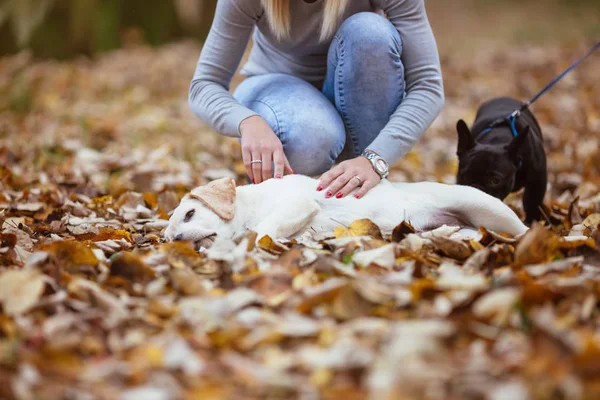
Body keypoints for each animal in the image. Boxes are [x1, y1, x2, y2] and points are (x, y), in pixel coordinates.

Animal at [454, 95, 548, 223]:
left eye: (495, 181)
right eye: (463, 176)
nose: (476, 189)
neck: (496, 140)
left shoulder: (538, 180)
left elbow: (532, 203)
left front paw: (531, 223)